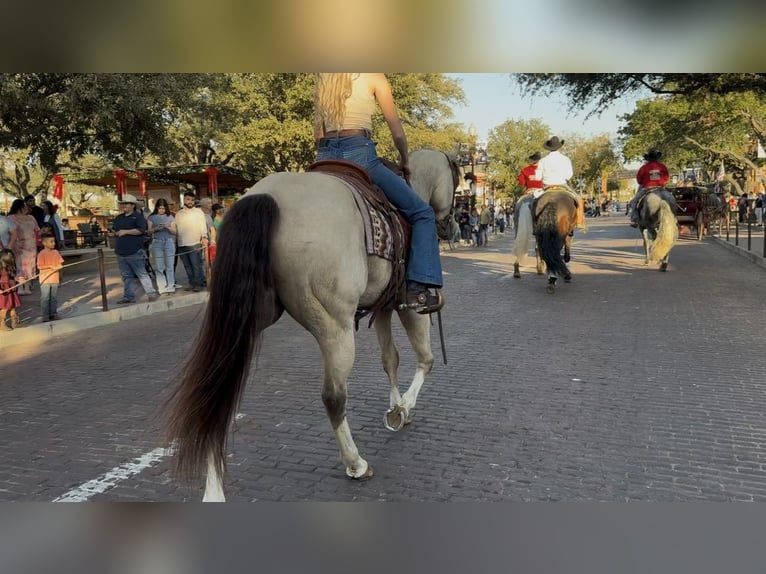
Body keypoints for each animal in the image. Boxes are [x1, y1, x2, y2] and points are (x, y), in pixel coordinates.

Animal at [164, 149, 459, 501]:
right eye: (457, 182)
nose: (451, 226)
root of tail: (267, 196)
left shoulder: (384, 307)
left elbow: (390, 360)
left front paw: (395, 406)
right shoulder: (408, 306)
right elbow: (425, 359)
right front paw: (403, 409)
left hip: (246, 317)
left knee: (218, 392)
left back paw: (213, 489)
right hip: (335, 327)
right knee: (334, 397)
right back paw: (355, 463)